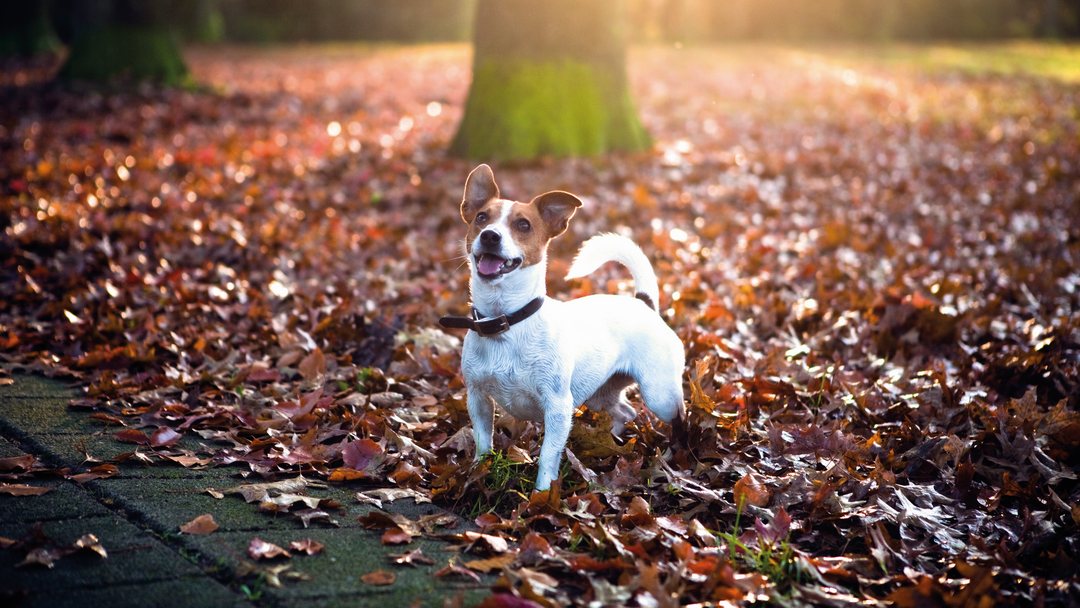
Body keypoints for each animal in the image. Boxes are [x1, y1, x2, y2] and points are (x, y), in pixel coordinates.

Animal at [442, 164, 686, 492]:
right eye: (481, 217)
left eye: (523, 225)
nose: (490, 235)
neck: (506, 321)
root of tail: (643, 303)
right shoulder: (478, 398)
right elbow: (483, 442)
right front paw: (478, 472)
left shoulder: (558, 406)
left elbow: (548, 456)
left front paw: (542, 495)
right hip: (601, 392)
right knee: (627, 411)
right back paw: (611, 440)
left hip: (661, 395)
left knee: (677, 418)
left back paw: (678, 451)